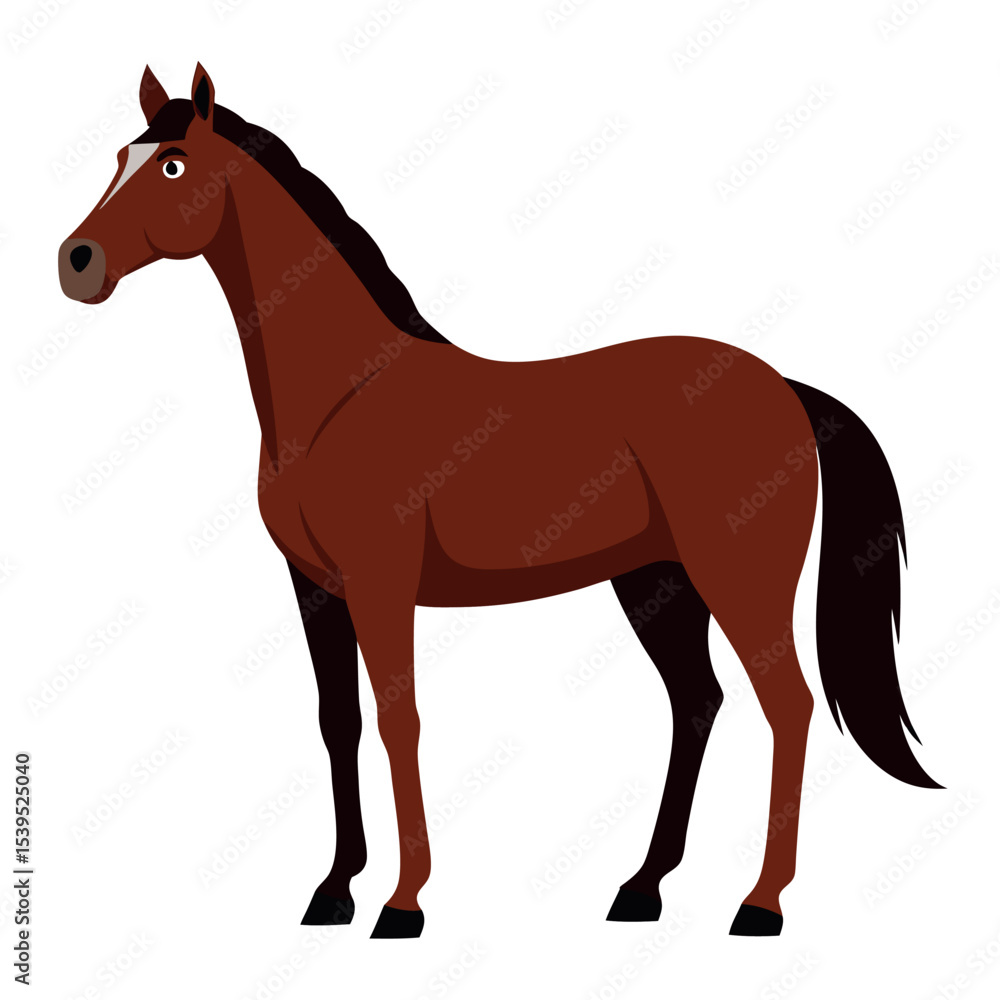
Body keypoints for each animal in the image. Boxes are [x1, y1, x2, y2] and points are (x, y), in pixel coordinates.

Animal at [59, 64, 940, 939]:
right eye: (120, 156)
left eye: (173, 165)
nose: (77, 262)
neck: (344, 396)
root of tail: (785, 388)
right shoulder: (315, 588)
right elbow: (338, 722)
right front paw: (334, 890)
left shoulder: (382, 586)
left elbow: (399, 721)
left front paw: (402, 902)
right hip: (656, 581)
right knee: (698, 703)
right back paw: (642, 888)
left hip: (736, 578)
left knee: (786, 707)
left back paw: (760, 903)